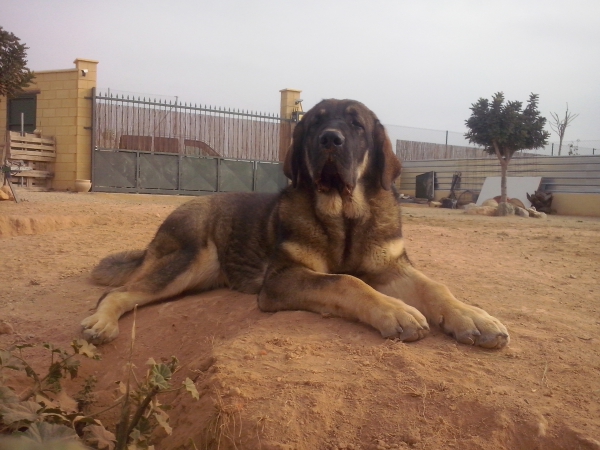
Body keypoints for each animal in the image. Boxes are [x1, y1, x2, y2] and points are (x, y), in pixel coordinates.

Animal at [82, 100, 508, 350]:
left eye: (356, 125)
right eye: (315, 124)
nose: (330, 139)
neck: (345, 216)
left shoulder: (390, 267)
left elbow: (436, 287)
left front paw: (474, 317)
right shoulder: (282, 279)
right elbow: (346, 281)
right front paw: (397, 312)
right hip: (188, 261)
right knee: (116, 294)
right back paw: (100, 323)